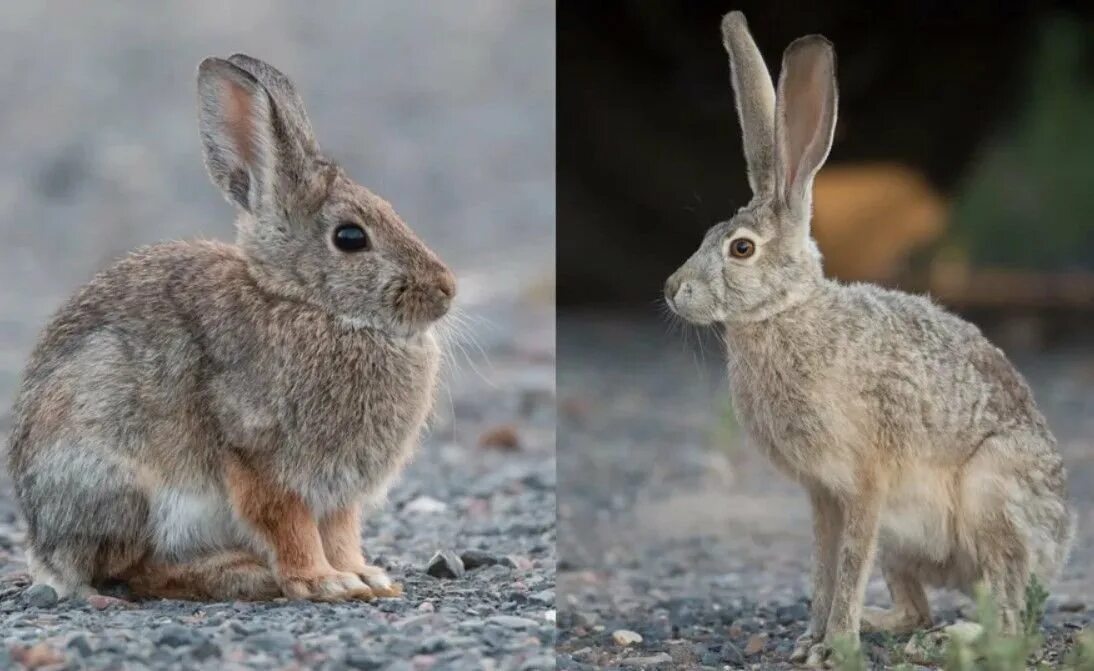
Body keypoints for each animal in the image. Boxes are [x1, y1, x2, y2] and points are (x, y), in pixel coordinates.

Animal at [6, 55, 455, 599]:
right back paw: (240, 572)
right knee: (131, 569)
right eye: (351, 238)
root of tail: (43, 546)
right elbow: (287, 523)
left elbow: (341, 531)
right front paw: (322, 582)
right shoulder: (258, 453)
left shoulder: (337, 490)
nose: (446, 290)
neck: (305, 303)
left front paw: (364, 576)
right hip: (119, 477)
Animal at [660, 10, 1072, 665]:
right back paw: (893, 625)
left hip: (992, 498)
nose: (674, 290)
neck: (788, 313)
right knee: (918, 608)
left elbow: (848, 564)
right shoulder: (822, 495)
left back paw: (955, 637)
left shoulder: (865, 484)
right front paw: (810, 639)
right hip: (905, 546)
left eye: (741, 249)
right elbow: (823, 566)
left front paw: (834, 647)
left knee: (1010, 619)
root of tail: (1061, 543)